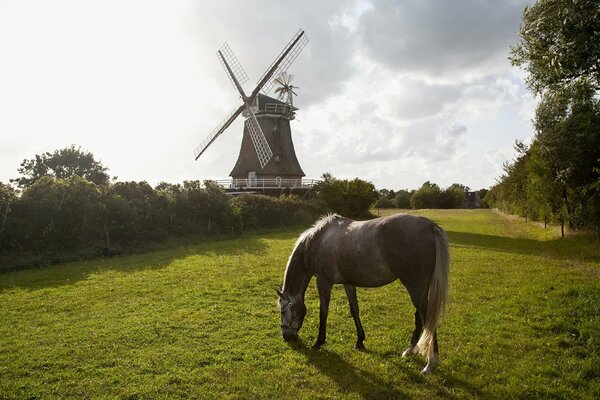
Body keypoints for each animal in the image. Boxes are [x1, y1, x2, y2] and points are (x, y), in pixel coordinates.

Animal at [276, 214, 450, 374]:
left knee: (427, 318)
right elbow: (354, 310)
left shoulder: (324, 283)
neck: (317, 242)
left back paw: (430, 363)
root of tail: (430, 226)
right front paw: (360, 341)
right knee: (419, 317)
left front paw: (319, 342)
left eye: (283, 311)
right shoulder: (348, 283)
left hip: (415, 288)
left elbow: (323, 313)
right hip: (419, 289)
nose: (286, 337)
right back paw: (410, 351)